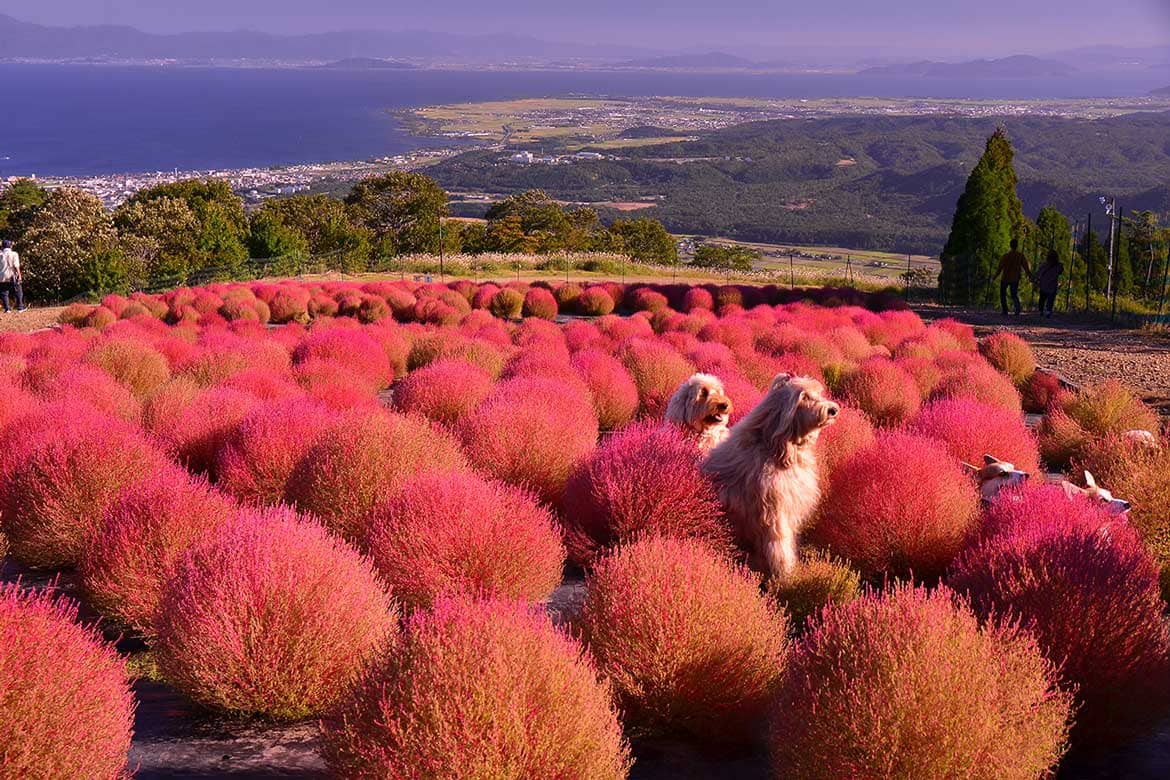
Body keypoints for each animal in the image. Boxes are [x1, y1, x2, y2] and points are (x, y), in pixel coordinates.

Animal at [697, 374, 837, 582]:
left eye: (818, 394)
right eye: (804, 397)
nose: (833, 409)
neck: (774, 447)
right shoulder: (774, 514)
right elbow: (780, 547)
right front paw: (787, 576)